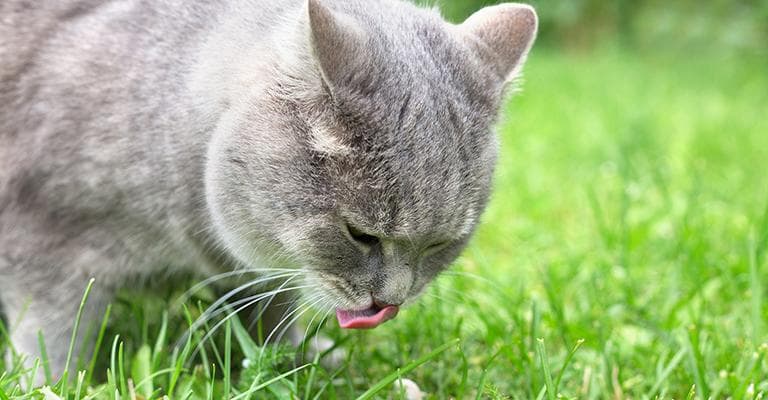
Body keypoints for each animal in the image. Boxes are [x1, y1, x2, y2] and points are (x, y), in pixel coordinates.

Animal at [0, 0, 536, 382]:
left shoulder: (264, 276)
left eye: (441, 244)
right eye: (360, 235)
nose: (393, 301)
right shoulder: (44, 239)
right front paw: (51, 384)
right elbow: (53, 332)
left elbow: (273, 327)